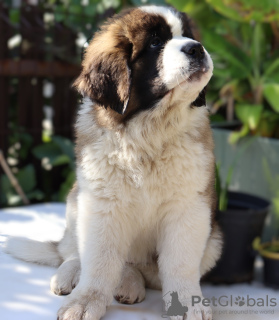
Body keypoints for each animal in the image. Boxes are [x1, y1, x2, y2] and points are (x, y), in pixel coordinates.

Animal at [5, 5, 223, 320]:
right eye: (155, 42)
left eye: (188, 35)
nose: (196, 48)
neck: (150, 127)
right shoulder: (101, 203)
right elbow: (99, 260)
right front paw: (86, 300)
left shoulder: (189, 206)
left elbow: (180, 262)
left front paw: (185, 303)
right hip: (76, 201)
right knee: (72, 251)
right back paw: (70, 275)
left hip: (214, 242)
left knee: (138, 268)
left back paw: (130, 282)